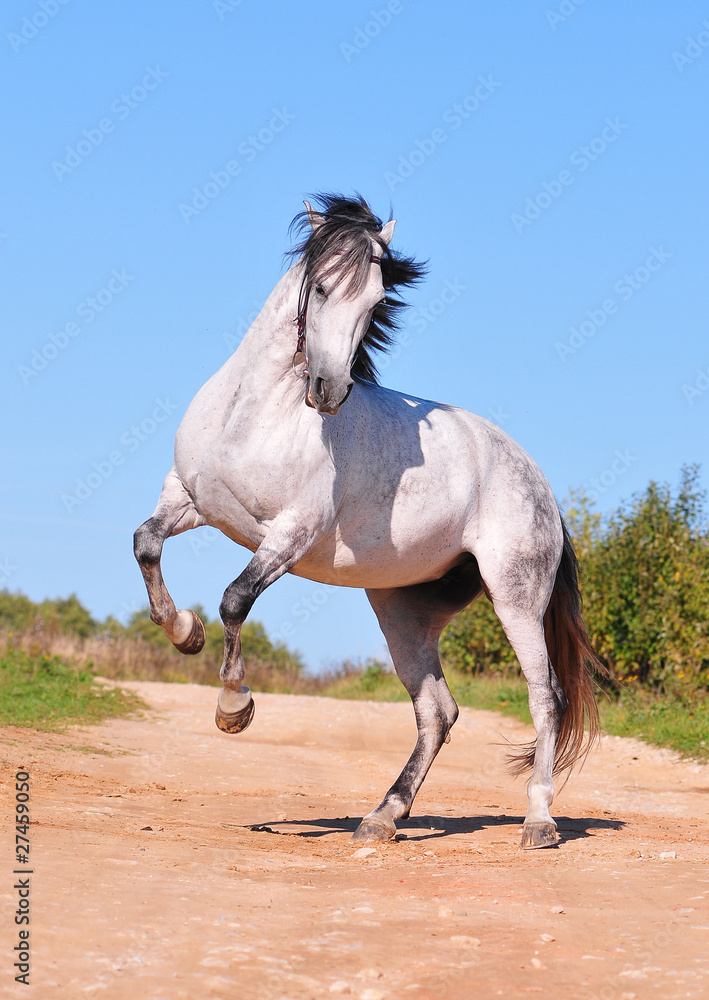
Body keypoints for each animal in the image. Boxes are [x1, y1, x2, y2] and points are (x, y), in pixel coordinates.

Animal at [134, 193, 603, 850]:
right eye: (321, 286)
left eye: (378, 300)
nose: (330, 391)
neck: (253, 416)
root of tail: (539, 483)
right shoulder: (187, 500)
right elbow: (146, 544)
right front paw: (184, 632)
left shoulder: (290, 535)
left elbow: (235, 598)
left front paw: (234, 707)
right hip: (402, 608)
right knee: (437, 710)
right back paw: (383, 817)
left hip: (515, 597)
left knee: (546, 696)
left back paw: (539, 821)